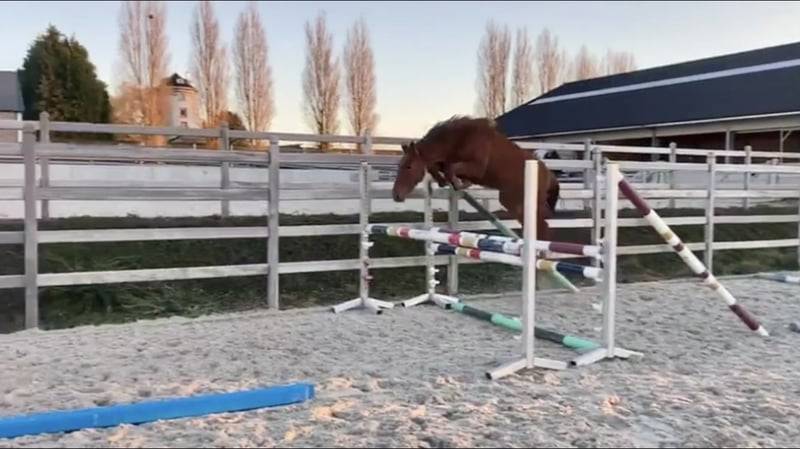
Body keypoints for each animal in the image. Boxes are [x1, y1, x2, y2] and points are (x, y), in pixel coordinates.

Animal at [391, 116, 561, 240]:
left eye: (408, 167)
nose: (396, 195)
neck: (462, 139)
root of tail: (548, 174)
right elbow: (441, 167)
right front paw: (446, 181)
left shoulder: (476, 168)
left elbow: (451, 169)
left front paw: (457, 184)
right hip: (515, 203)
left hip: (520, 203)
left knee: (543, 228)